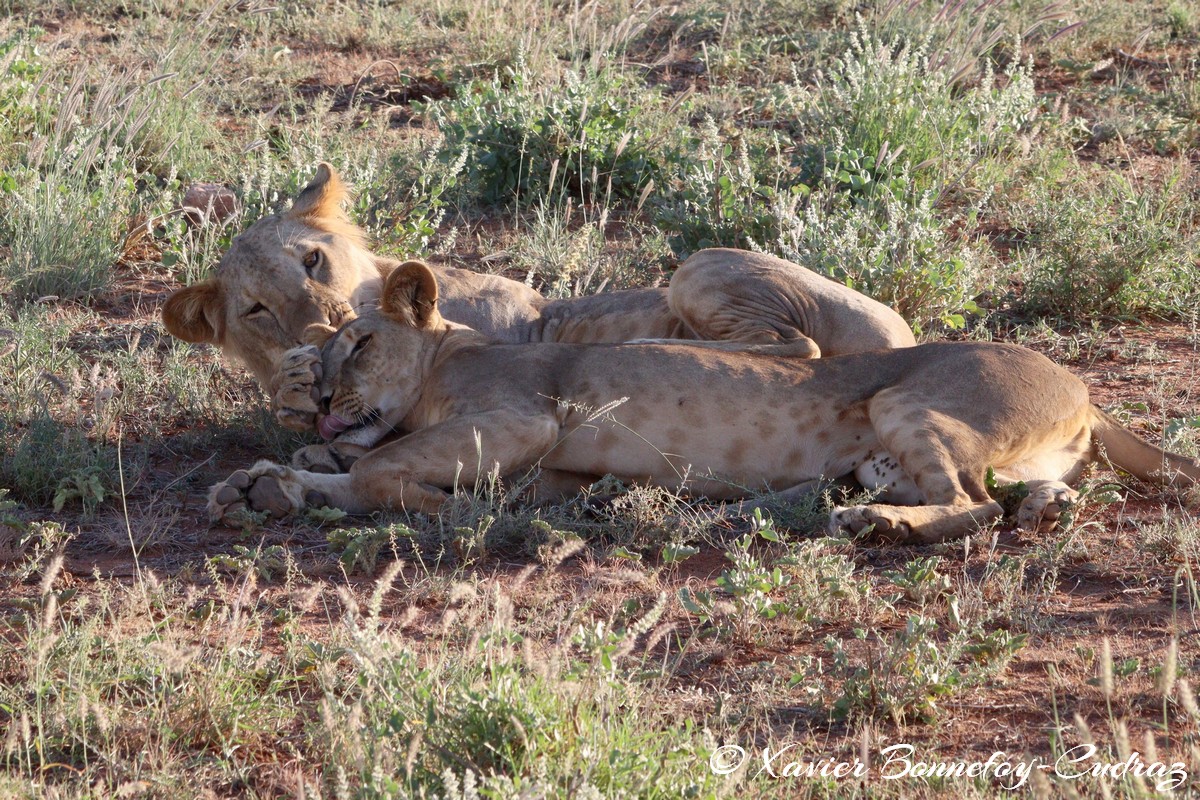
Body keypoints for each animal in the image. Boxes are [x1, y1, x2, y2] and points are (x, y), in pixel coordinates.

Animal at [157, 163, 907, 438]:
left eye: (312, 259)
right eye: (256, 309)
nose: (324, 323)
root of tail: (900, 334)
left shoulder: (512, 321)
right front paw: (293, 380)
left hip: (697, 267)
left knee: (796, 345)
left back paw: (649, 345)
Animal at [206, 262, 1200, 544]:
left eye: (360, 343)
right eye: (307, 369)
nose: (320, 401)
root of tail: (1085, 386)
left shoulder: (523, 416)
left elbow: (383, 469)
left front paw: (432, 505)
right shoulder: (555, 468)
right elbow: (358, 469)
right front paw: (267, 484)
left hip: (909, 408)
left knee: (973, 505)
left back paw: (877, 524)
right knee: (1004, 494)